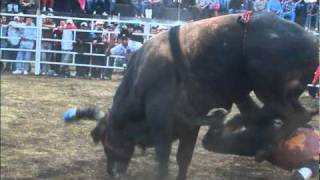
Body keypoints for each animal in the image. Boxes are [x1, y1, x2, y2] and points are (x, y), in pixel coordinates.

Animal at [64, 11, 318, 179]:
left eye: (107, 140)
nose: (111, 172)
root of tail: (311, 42)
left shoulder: (161, 121)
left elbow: (164, 158)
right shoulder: (188, 126)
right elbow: (183, 158)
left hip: (266, 85)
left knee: (290, 113)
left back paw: (256, 137)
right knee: (294, 113)